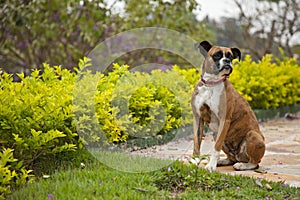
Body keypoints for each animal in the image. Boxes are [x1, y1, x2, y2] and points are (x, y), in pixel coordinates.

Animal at [192, 40, 264, 172]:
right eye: (217, 55)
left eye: (231, 57)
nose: (227, 61)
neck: (211, 84)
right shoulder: (197, 118)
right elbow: (196, 143)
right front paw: (193, 161)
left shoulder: (224, 120)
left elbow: (216, 147)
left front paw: (211, 166)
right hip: (218, 135)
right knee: (232, 158)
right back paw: (222, 161)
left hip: (253, 135)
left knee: (254, 163)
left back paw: (242, 165)